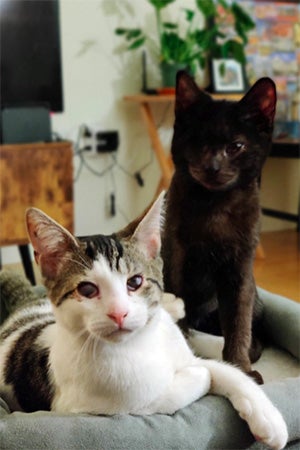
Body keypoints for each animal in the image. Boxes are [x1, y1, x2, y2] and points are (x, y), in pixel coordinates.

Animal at [0, 194, 288, 450]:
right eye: (87, 290)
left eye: (135, 282)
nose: (119, 313)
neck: (139, 344)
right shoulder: (90, 405)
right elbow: (167, 395)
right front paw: (199, 377)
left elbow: (229, 372)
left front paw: (269, 419)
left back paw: (177, 306)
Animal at [163, 72, 278, 382]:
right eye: (197, 143)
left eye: (236, 146)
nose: (213, 166)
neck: (214, 205)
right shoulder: (176, 262)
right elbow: (178, 320)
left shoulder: (239, 274)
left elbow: (238, 324)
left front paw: (240, 368)